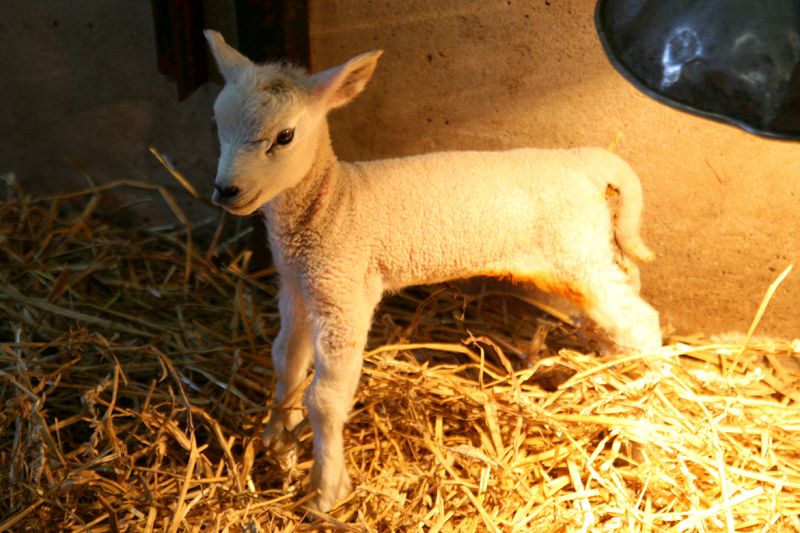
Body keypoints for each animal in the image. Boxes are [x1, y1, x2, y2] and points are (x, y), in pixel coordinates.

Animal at [203, 29, 660, 512]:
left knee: (643, 324)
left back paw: (643, 426)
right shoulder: (298, 286)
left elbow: (326, 398)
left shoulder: (345, 289)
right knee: (626, 305)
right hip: (593, 250)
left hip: (576, 255)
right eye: (218, 124)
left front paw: (326, 492)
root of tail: (588, 160)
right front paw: (276, 439)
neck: (332, 203)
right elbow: (286, 360)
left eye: (285, 136)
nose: (225, 191)